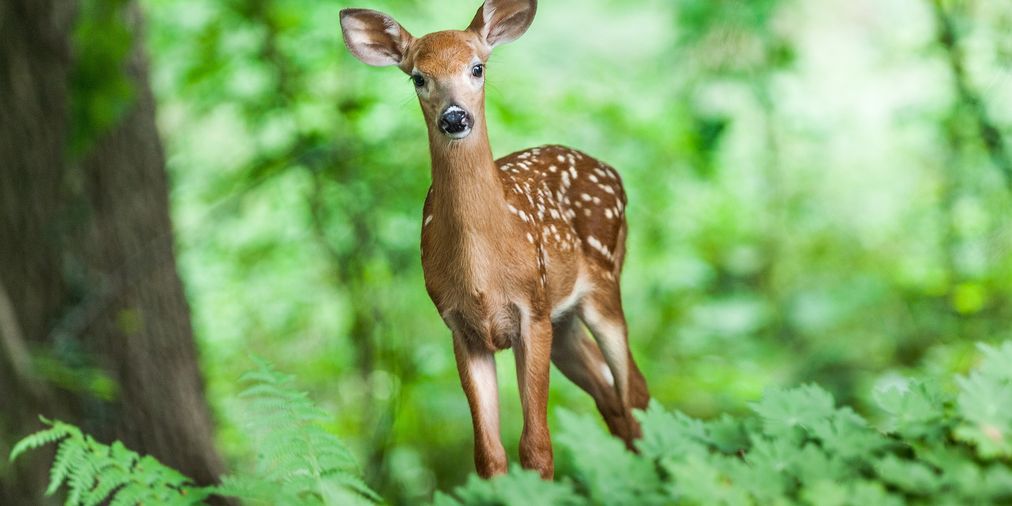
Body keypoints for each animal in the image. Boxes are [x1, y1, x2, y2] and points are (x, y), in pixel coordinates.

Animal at [342, 0, 647, 477]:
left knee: (633, 388)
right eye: (418, 77)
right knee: (612, 396)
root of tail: (612, 172)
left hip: (602, 286)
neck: (482, 272)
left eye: (477, 67)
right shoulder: (460, 327)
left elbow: (537, 448)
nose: (454, 117)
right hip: (564, 323)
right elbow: (488, 454)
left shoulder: (532, 312)